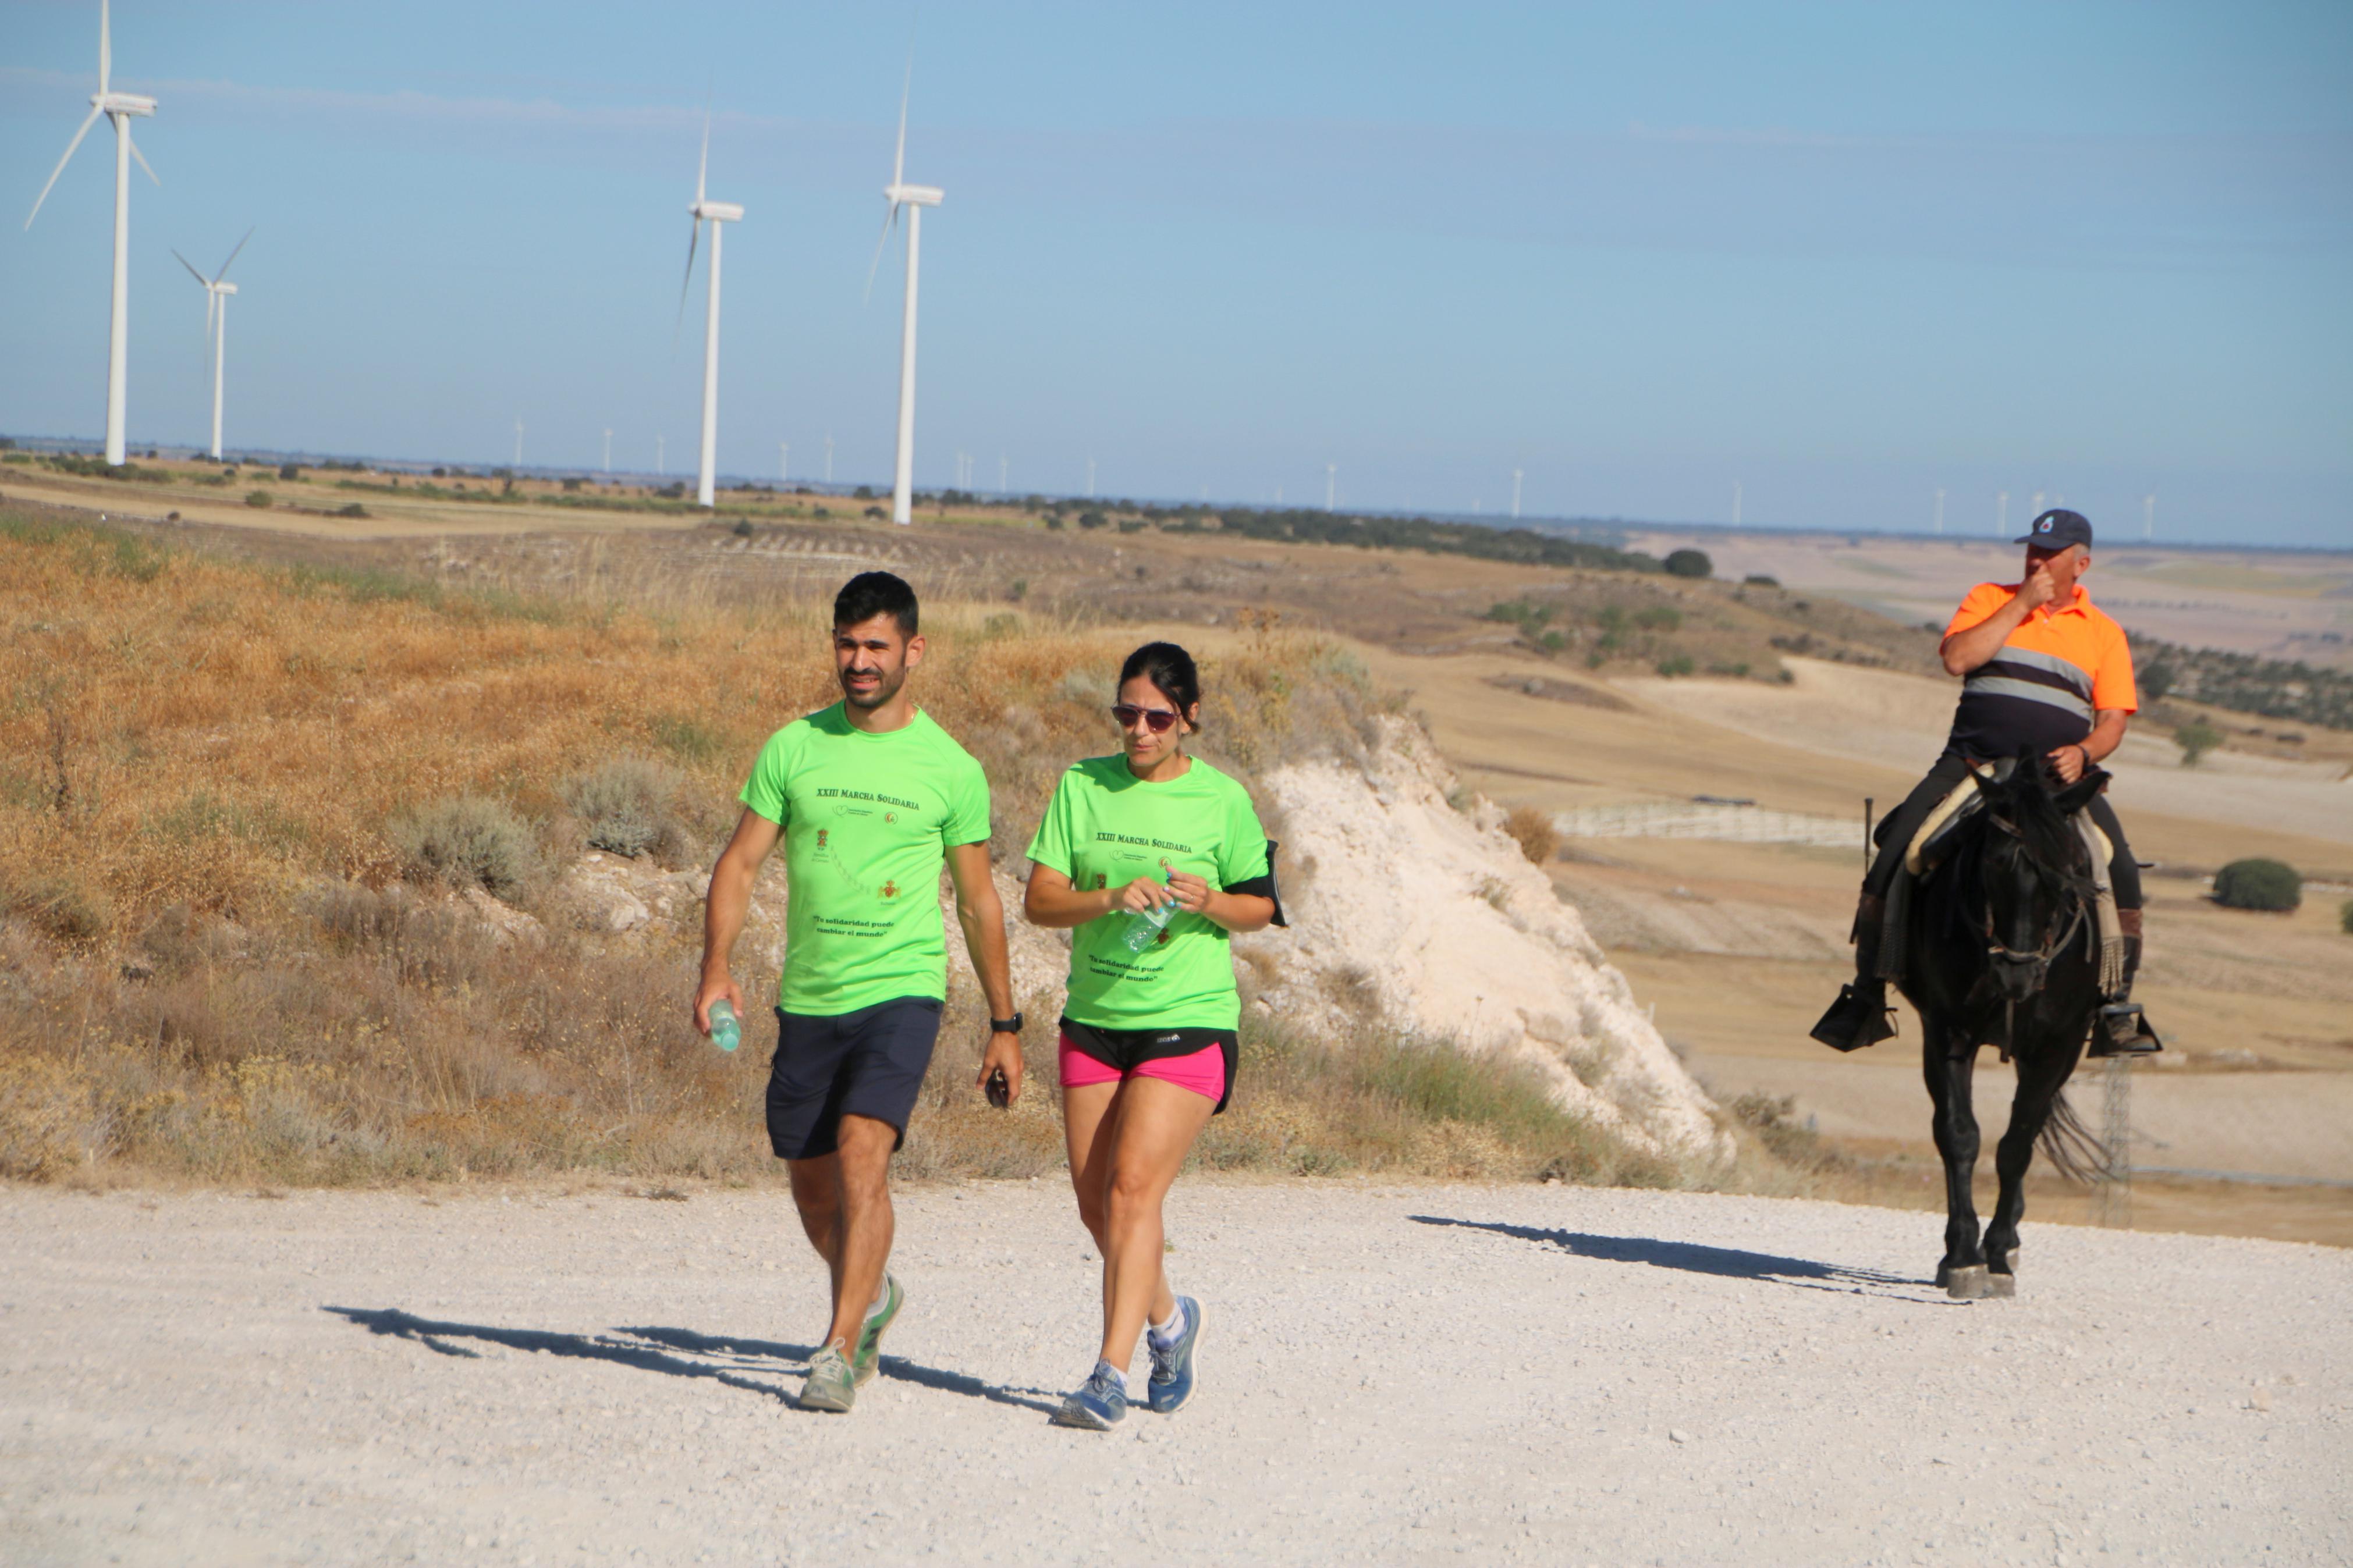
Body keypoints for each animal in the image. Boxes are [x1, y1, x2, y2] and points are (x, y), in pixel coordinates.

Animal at [1901, 747, 2108, 1297]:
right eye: (1992, 865)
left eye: (2067, 870)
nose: (2018, 973)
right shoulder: (1947, 1031)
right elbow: (1959, 1134)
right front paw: (1962, 1256)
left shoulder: (2056, 1046)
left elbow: (2017, 1145)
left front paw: (1995, 1253)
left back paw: (2010, 1240)